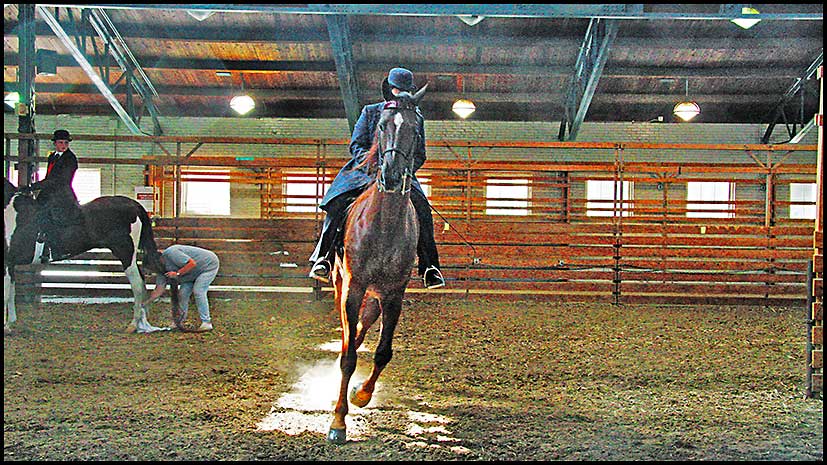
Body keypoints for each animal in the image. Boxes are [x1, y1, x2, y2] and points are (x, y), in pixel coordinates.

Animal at [3, 177, 168, 334]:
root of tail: (134, 205)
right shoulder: (9, 264)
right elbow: (11, 293)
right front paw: (9, 325)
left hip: (125, 254)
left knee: (137, 285)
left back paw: (133, 325)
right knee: (142, 284)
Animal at [326, 85, 426, 444]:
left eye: (415, 129)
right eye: (382, 125)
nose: (392, 175)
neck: (384, 224)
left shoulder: (394, 294)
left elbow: (383, 352)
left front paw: (362, 395)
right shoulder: (353, 287)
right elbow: (348, 358)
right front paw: (338, 422)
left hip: (377, 294)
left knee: (364, 324)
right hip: (342, 284)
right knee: (347, 332)